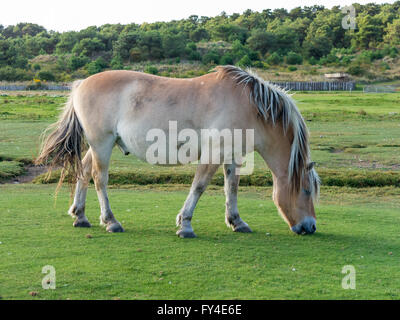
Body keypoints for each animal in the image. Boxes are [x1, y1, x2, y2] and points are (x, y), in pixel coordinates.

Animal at [36, 65, 320, 238]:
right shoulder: (213, 154)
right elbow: (199, 186)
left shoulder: (232, 156)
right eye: (306, 191)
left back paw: (80, 215)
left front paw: (236, 221)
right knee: (99, 178)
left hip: (99, 145)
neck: (250, 106)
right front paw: (185, 224)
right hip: (102, 143)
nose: (311, 227)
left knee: (84, 172)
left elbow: (231, 188)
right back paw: (111, 221)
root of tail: (81, 83)